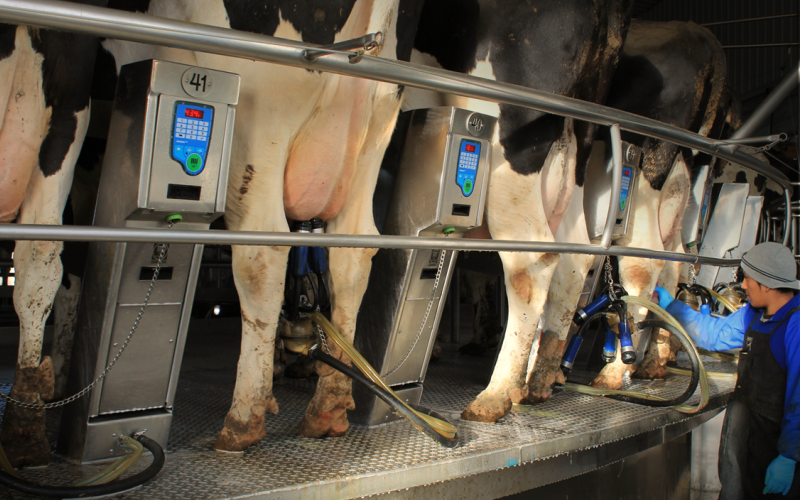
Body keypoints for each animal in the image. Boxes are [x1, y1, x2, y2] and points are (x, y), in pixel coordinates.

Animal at [404, 0, 636, 422]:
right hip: (576, 153)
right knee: (574, 257)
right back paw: (540, 380)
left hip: (510, 145)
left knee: (532, 260)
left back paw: (498, 392)